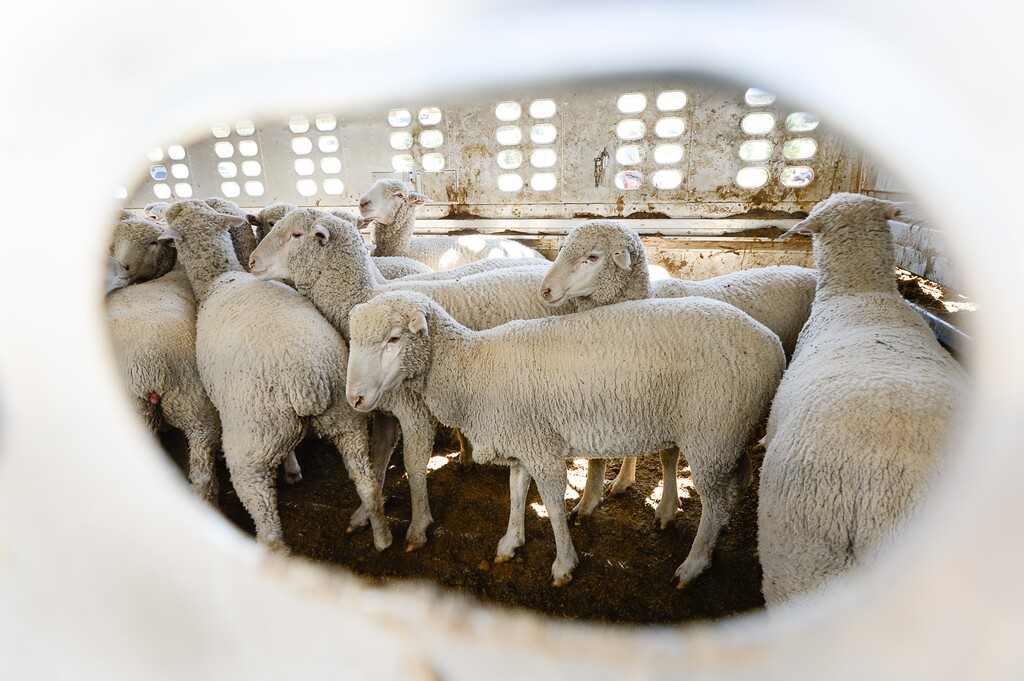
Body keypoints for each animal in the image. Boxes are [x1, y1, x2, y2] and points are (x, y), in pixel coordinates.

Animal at [159, 199, 391, 552]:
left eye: (295, 234)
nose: (253, 261)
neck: (221, 277)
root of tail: (307, 380)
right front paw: (293, 469)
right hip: (347, 420)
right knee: (367, 483)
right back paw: (382, 537)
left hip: (252, 443)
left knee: (267, 527)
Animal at [247, 210, 562, 549]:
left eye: (296, 235)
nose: (251, 261)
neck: (369, 293)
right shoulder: (385, 409)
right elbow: (377, 459)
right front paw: (365, 514)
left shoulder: (416, 410)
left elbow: (413, 465)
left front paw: (419, 525)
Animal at [345, 291, 785, 586]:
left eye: (394, 338)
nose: (355, 399)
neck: (471, 369)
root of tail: (774, 345)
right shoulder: (523, 441)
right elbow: (516, 493)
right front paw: (510, 542)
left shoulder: (543, 448)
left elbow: (554, 506)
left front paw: (563, 564)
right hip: (728, 436)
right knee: (736, 481)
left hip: (711, 432)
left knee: (715, 500)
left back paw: (693, 564)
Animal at [539, 219, 817, 521]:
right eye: (562, 249)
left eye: (593, 257)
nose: (546, 290)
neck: (646, 297)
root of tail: (807, 270)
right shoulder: (628, 386)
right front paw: (616, 483)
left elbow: (667, 457)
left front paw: (666, 505)